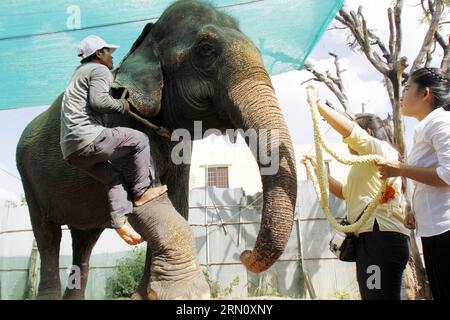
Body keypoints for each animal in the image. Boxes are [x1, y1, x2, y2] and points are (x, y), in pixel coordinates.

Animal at [15, 0, 298, 300]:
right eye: (206, 50)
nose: (243, 255)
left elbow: (177, 202)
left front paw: (143, 295)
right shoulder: (119, 124)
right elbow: (145, 197)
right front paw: (188, 293)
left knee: (85, 239)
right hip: (29, 178)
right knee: (47, 235)